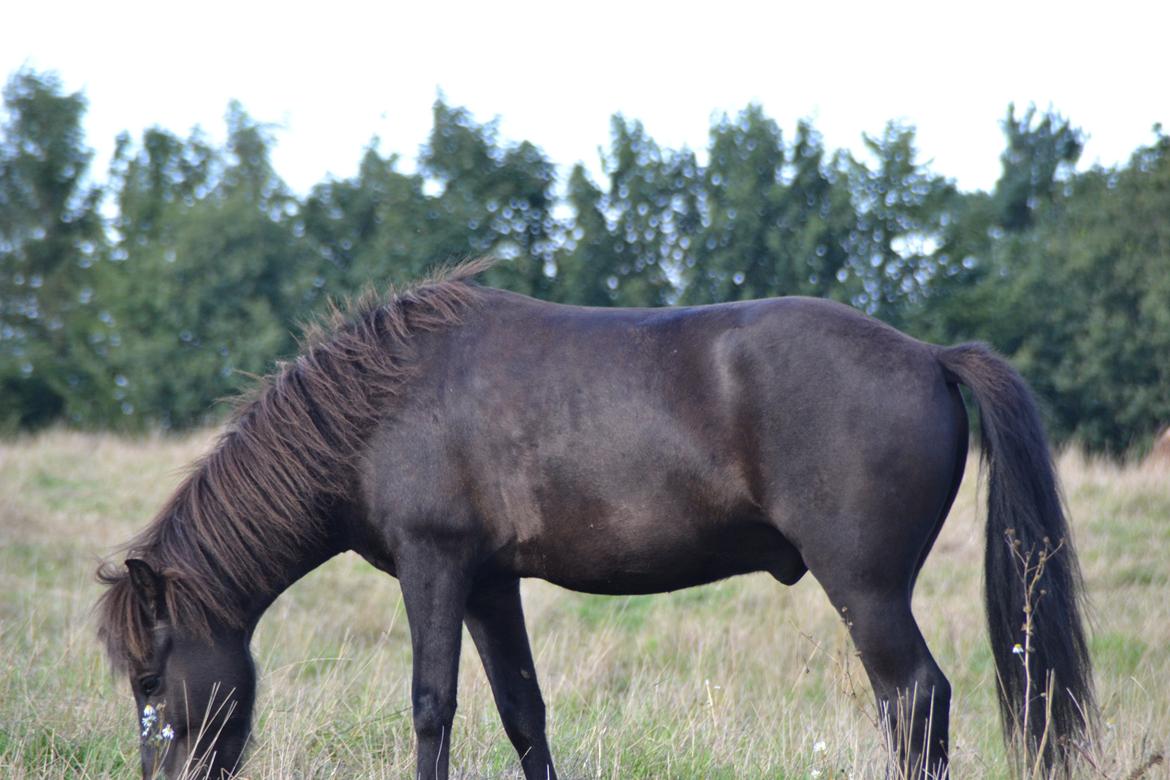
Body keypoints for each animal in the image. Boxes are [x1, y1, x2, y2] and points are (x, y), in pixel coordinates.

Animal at [95, 261, 1090, 780]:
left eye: (149, 680)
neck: (380, 407)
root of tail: (928, 353)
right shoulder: (491, 584)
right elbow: (522, 710)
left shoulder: (435, 568)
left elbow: (432, 707)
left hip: (869, 594)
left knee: (915, 700)